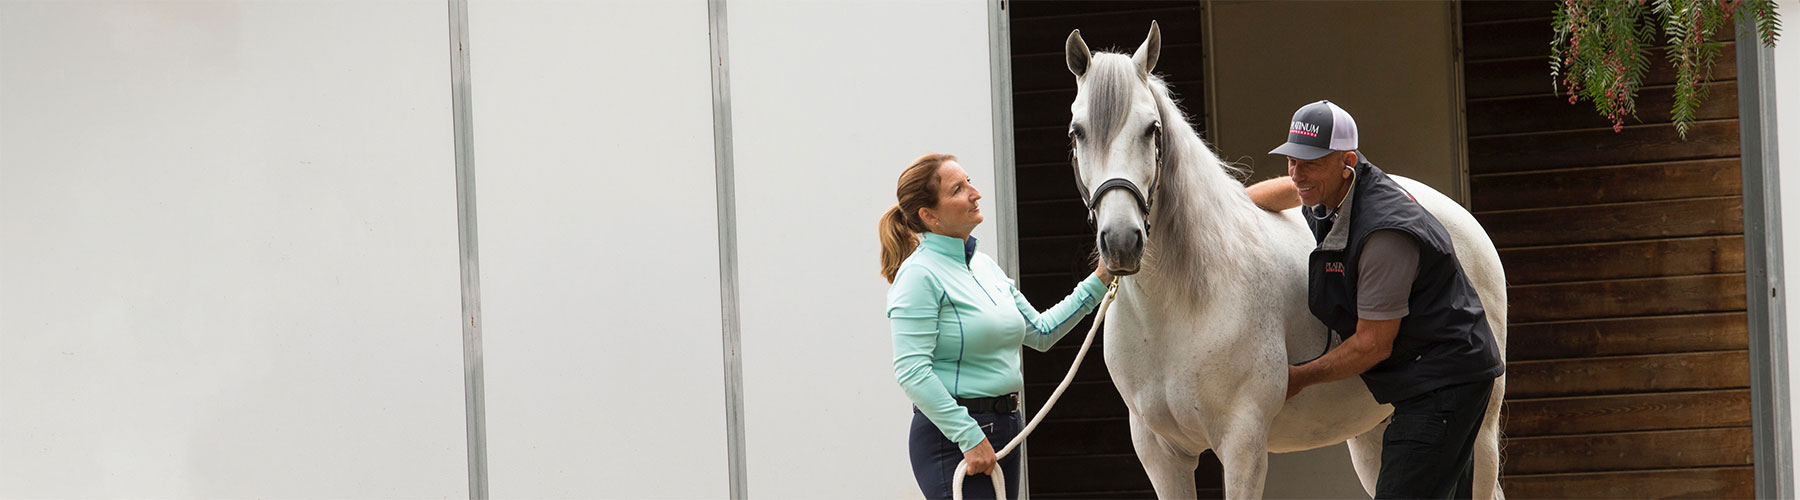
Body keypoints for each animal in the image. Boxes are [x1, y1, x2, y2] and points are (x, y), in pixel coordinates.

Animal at [1065, 21, 1504, 496]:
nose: (1121, 242)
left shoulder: (1243, 445)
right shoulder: (1160, 454)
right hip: (1373, 435)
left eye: (1152, 130)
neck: (1180, 307)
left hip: (1480, 436)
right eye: (1077, 132)